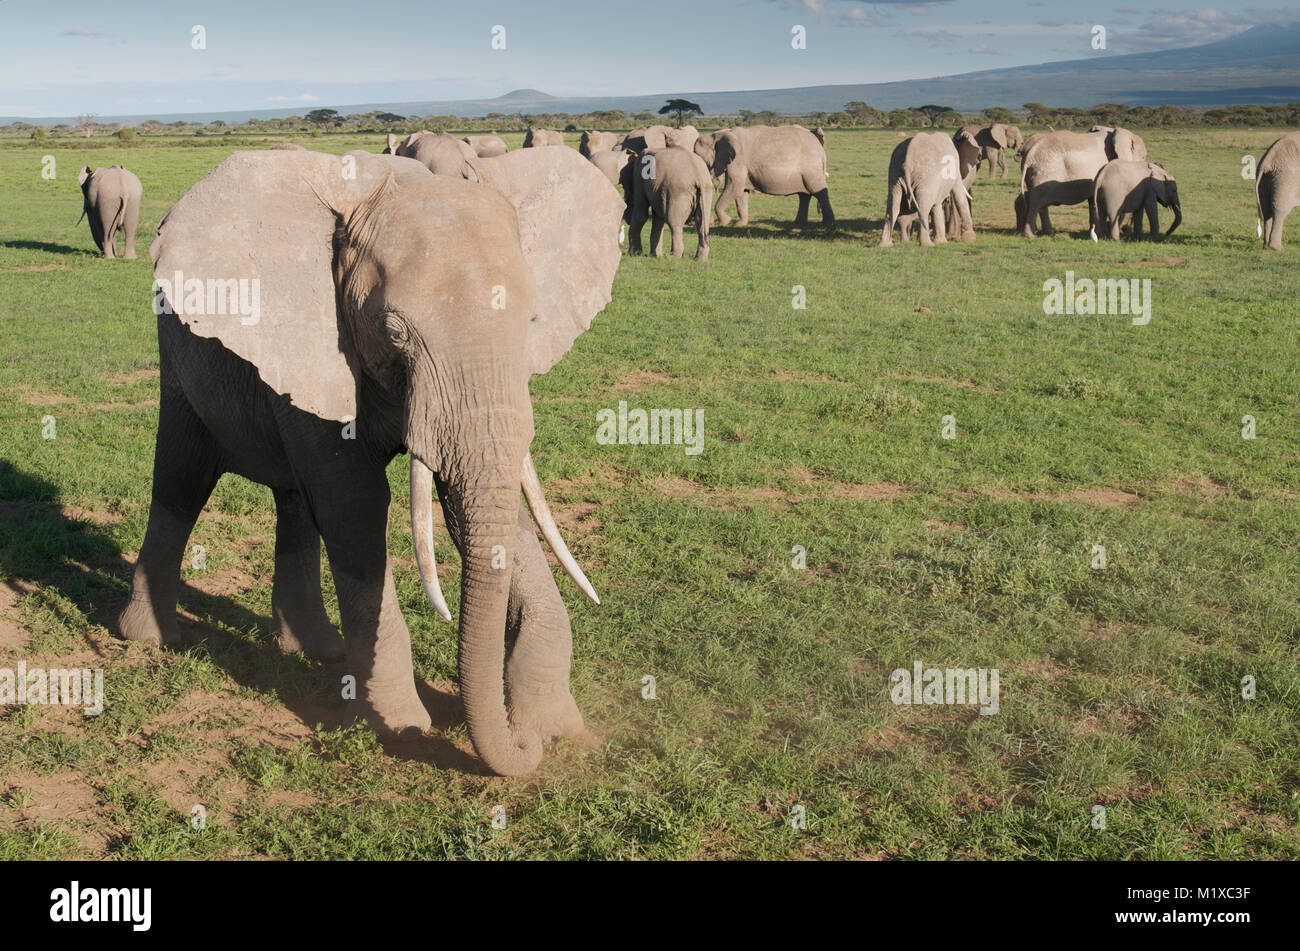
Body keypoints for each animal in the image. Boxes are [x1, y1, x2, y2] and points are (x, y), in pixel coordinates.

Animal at [122, 146, 624, 774]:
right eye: (393, 332)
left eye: (531, 322)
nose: (526, 744)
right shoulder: (319, 335)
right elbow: (356, 506)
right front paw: (403, 730)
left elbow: (477, 505)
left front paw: (556, 726)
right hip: (177, 352)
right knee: (183, 480)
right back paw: (148, 639)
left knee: (294, 498)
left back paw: (317, 650)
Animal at [696, 124, 837, 228]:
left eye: (703, 161)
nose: (711, 221)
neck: (720, 134)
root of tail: (821, 148)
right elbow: (741, 193)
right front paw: (739, 224)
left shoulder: (738, 160)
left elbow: (735, 187)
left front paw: (726, 222)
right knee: (804, 195)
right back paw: (798, 224)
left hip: (811, 168)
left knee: (818, 191)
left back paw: (827, 225)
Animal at [1013, 125, 1149, 236]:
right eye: (1143, 157)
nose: (1127, 229)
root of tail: (1029, 156)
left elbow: (1093, 200)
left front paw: (1095, 231)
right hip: (1044, 170)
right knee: (1037, 202)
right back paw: (1031, 235)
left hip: (1035, 173)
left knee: (1039, 202)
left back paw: (1048, 233)